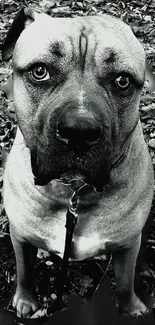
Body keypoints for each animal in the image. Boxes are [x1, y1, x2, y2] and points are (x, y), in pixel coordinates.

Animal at [1, 6, 154, 318]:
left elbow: (124, 284)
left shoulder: (127, 248)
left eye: (122, 80)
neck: (73, 192)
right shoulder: (20, 236)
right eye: (40, 71)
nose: (79, 131)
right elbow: (24, 272)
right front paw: (25, 300)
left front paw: (132, 308)